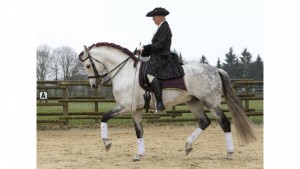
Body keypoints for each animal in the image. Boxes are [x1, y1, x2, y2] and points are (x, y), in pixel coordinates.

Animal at [78, 42, 256, 161]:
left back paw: (229, 152)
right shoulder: (135, 110)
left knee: (224, 123)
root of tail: (215, 69)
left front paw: (106, 143)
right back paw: (188, 146)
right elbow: (139, 131)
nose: (94, 85)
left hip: (211, 102)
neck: (126, 72)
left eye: (87, 65)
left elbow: (105, 116)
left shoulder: (126, 107)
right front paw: (139, 154)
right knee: (204, 122)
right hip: (193, 102)